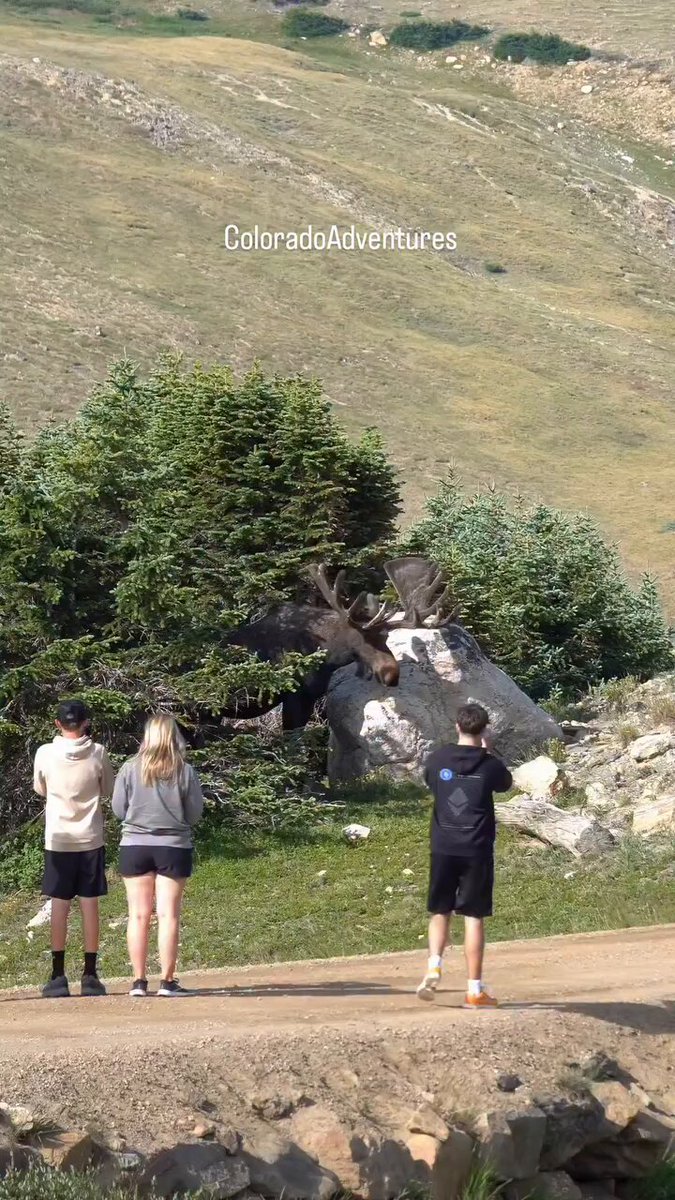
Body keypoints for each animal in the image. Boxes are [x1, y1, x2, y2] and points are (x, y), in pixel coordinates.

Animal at [220, 556, 455, 731]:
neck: (326, 657)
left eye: (386, 637)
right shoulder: (295, 697)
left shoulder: (308, 698)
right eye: (362, 638)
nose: (392, 674)